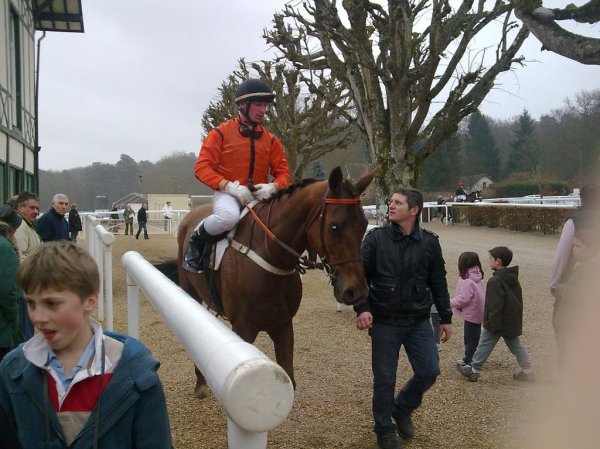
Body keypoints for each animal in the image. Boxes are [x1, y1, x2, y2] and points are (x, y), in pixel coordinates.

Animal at [164, 166, 372, 398]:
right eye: (334, 227)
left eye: (364, 224)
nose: (357, 291)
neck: (270, 256)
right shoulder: (243, 328)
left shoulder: (283, 326)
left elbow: (288, 379)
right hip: (189, 290)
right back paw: (200, 382)